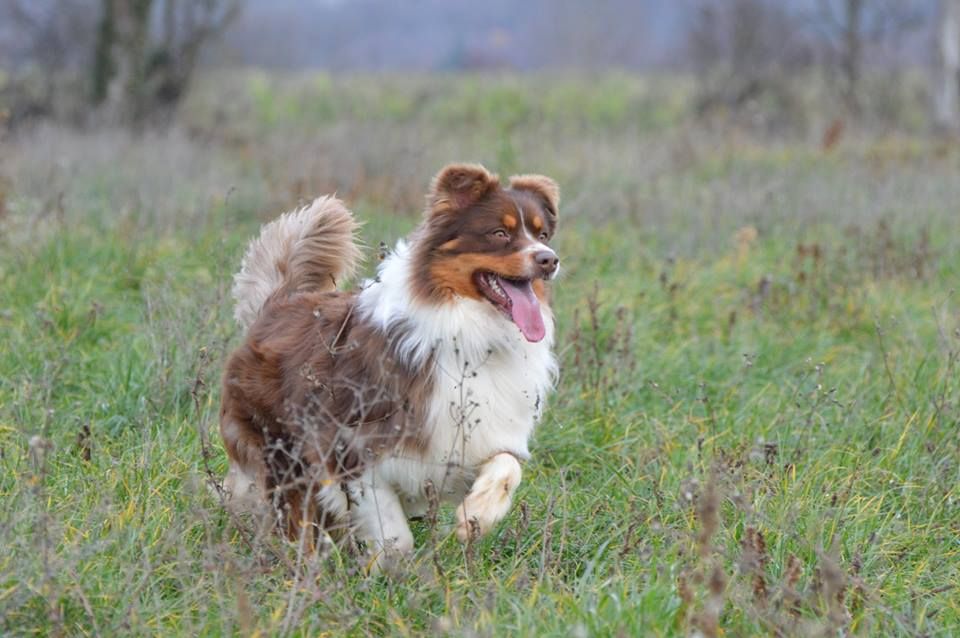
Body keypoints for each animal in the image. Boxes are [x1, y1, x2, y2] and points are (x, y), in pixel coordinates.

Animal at [220, 165, 560, 568]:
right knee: (296, 516)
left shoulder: (471, 437)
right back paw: (308, 566)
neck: (469, 330)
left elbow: (508, 466)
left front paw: (474, 516)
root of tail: (278, 304)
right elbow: (395, 536)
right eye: (500, 233)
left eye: (542, 234)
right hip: (279, 449)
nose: (549, 259)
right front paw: (387, 570)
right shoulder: (348, 446)